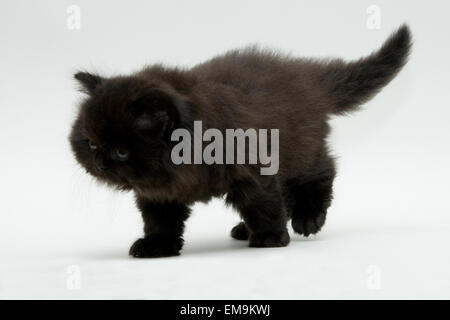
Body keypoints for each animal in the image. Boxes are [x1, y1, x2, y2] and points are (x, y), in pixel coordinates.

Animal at [69, 26, 412, 258]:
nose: (99, 162)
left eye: (120, 151)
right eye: (90, 143)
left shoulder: (252, 164)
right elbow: (160, 220)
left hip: (298, 146)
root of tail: (305, 74)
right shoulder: (159, 192)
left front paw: (271, 236)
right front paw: (157, 245)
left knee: (321, 169)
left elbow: (263, 201)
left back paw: (307, 217)